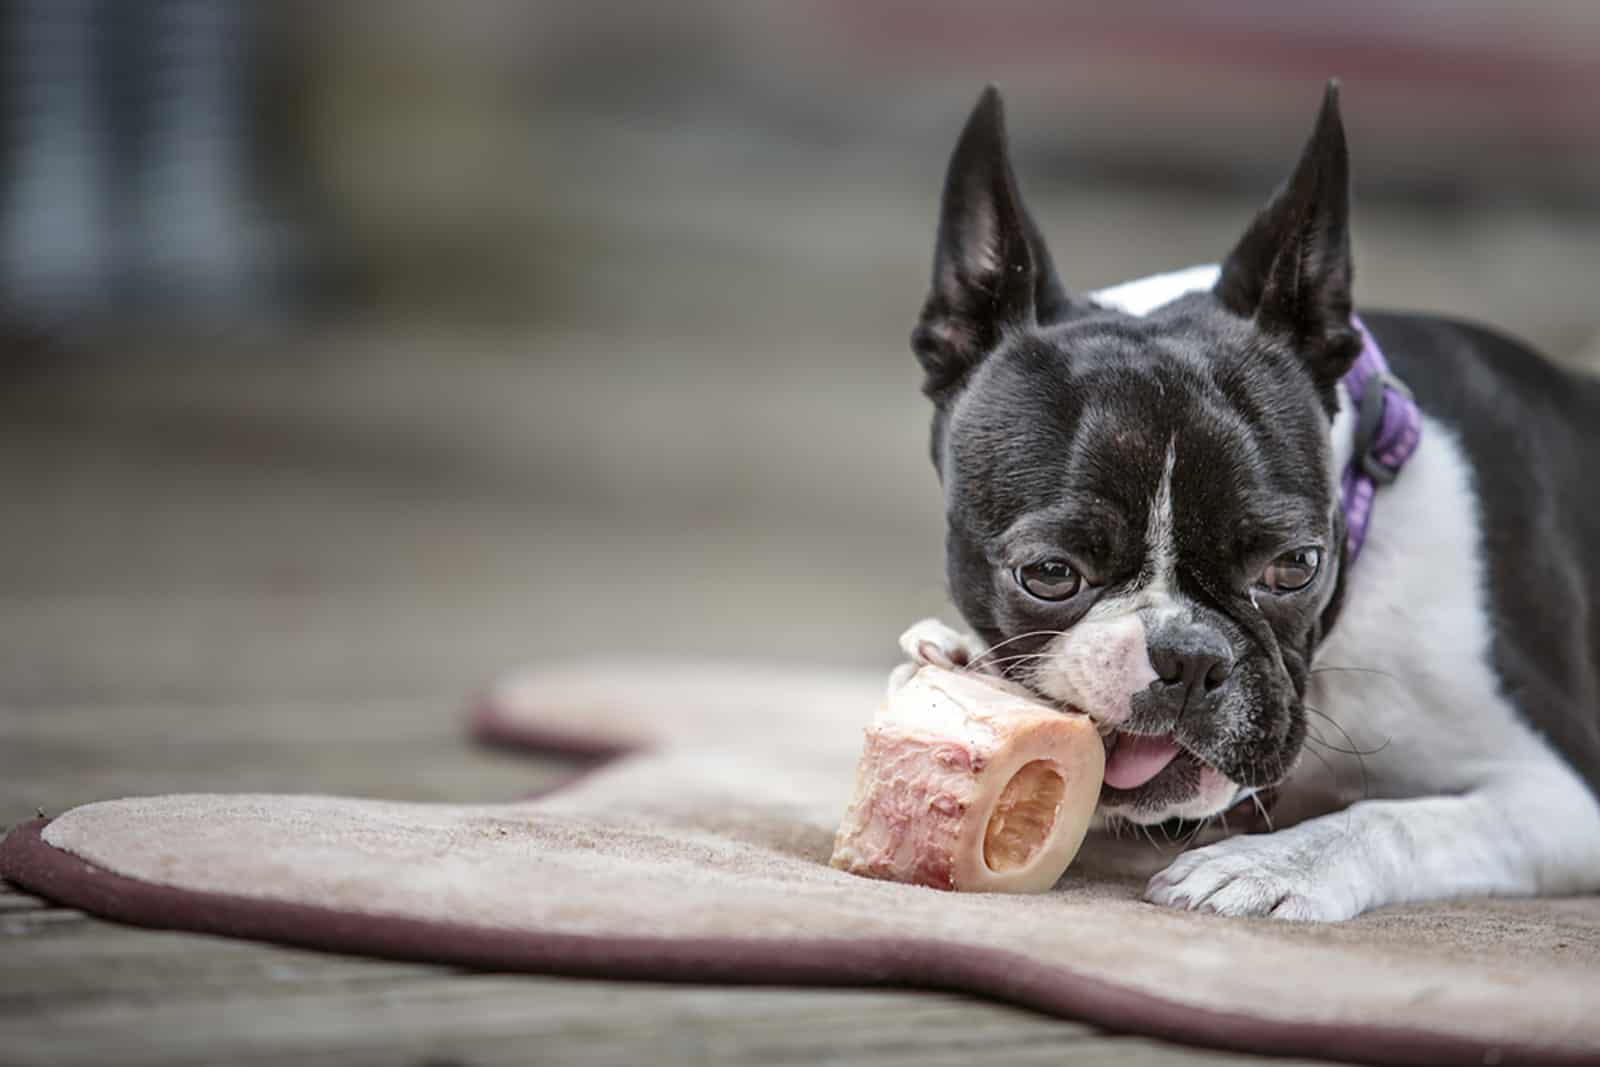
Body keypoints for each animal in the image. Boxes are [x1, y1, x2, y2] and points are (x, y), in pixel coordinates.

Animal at [896, 81, 1600, 921]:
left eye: (1295, 566)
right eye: (1050, 573)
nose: (1190, 656)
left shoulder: (1564, 794)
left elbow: (1395, 818)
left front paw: (1273, 865)